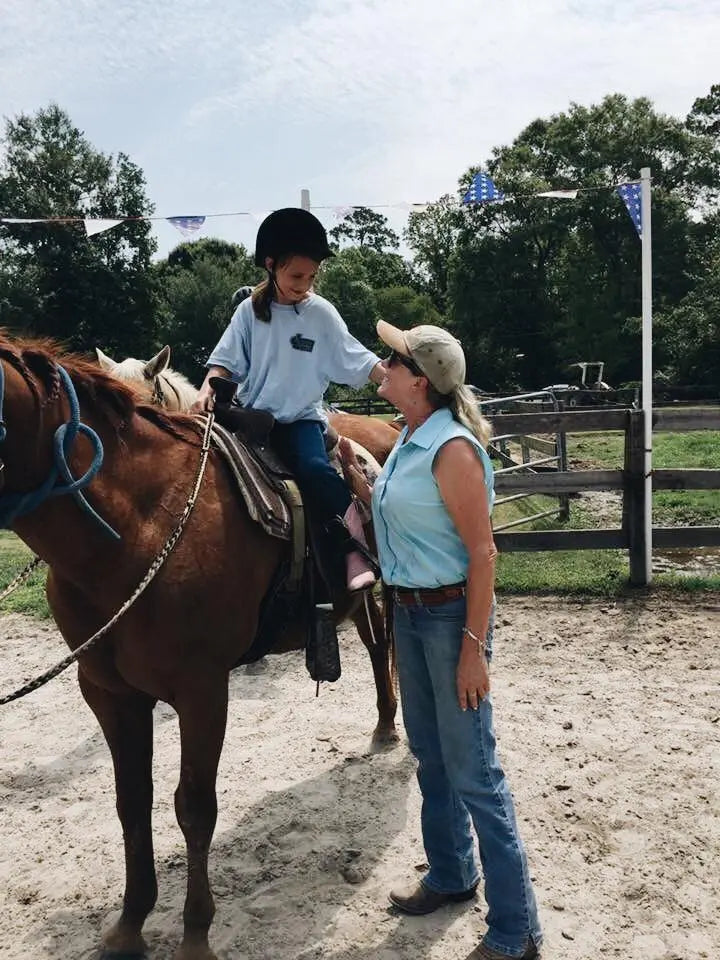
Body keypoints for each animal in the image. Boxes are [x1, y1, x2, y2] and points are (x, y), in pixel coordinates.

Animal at [0, 336, 400, 960]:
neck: (139, 526)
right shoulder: (107, 693)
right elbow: (131, 802)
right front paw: (129, 925)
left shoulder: (203, 690)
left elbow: (194, 807)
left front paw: (194, 935)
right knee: (375, 642)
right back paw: (383, 722)